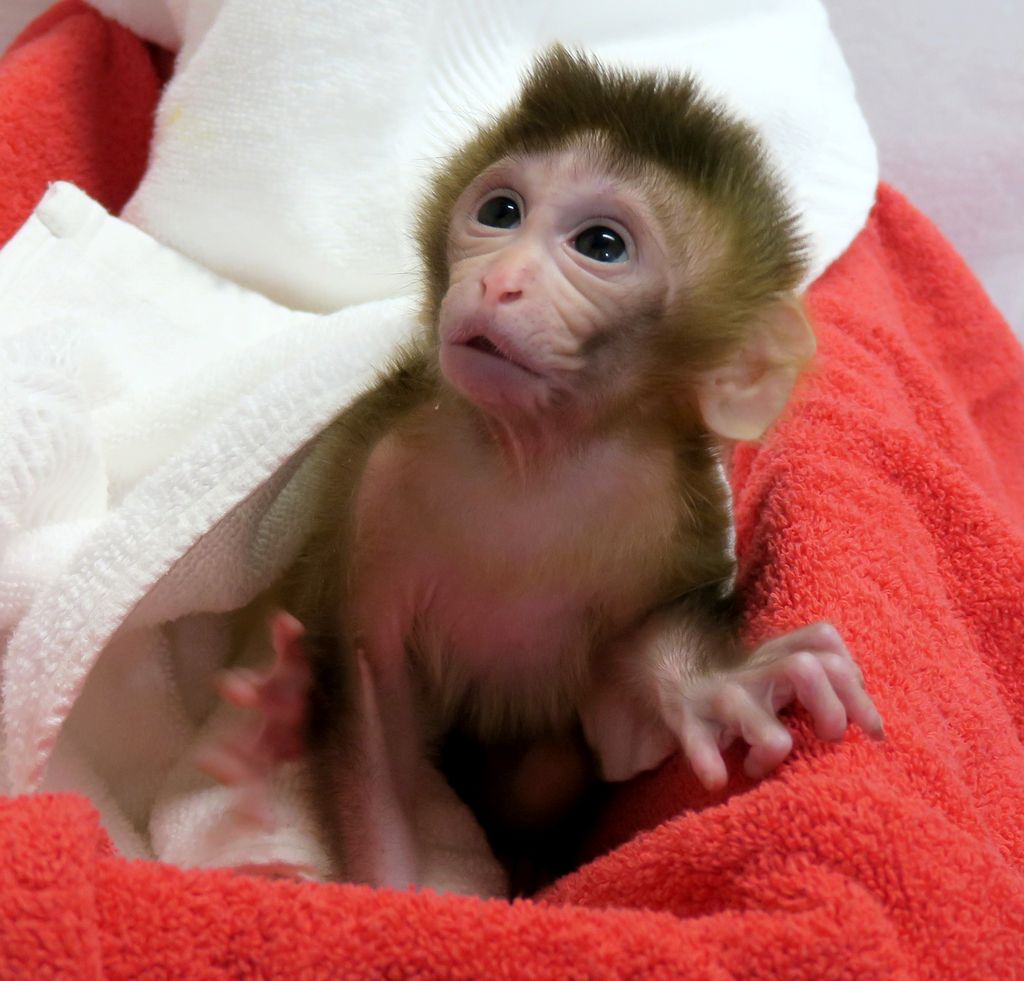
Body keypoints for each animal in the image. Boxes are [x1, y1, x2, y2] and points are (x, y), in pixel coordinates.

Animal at [200, 47, 884, 895]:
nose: (500, 281)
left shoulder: (664, 512)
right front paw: (392, 892)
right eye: (500, 213)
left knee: (549, 770)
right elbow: (371, 704)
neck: (532, 461)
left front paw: (712, 683)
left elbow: (622, 736)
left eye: (601, 245)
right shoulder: (380, 487)